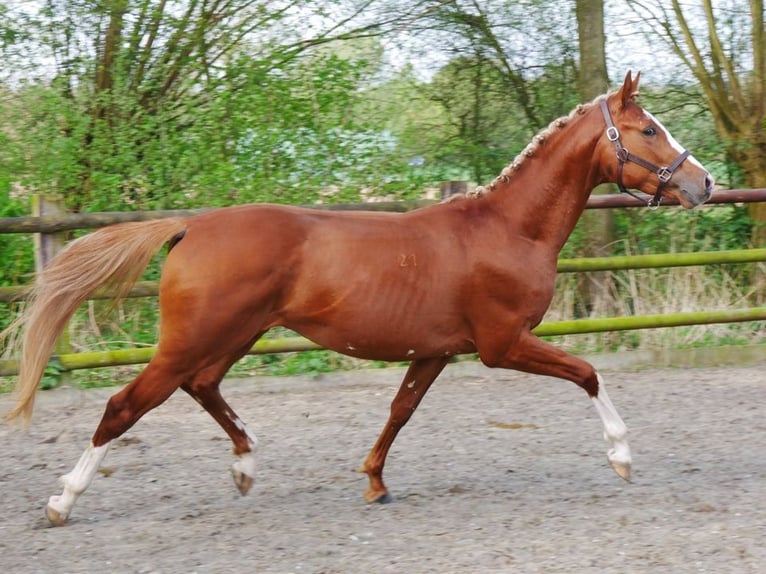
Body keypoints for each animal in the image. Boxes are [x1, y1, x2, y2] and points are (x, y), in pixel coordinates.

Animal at [4, 72, 712, 528]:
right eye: (649, 129)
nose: (705, 184)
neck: (508, 228)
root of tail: (192, 226)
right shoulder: (502, 344)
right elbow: (589, 374)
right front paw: (622, 458)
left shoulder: (435, 352)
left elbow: (399, 412)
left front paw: (375, 484)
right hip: (195, 339)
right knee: (124, 407)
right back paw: (62, 502)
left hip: (233, 336)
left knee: (201, 386)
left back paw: (245, 466)